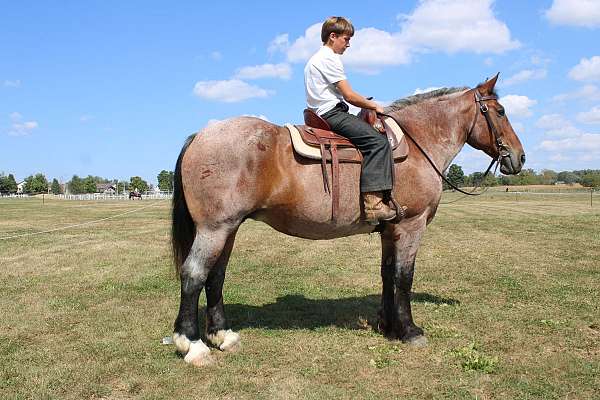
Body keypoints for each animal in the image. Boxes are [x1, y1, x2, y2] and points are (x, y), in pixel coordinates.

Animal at [170, 74, 524, 366]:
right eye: (501, 111)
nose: (519, 157)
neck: (417, 143)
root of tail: (201, 135)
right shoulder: (411, 225)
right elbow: (404, 277)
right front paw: (410, 331)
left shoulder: (390, 230)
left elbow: (387, 274)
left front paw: (388, 326)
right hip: (214, 229)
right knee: (194, 274)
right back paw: (193, 345)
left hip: (229, 229)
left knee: (215, 277)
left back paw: (222, 336)